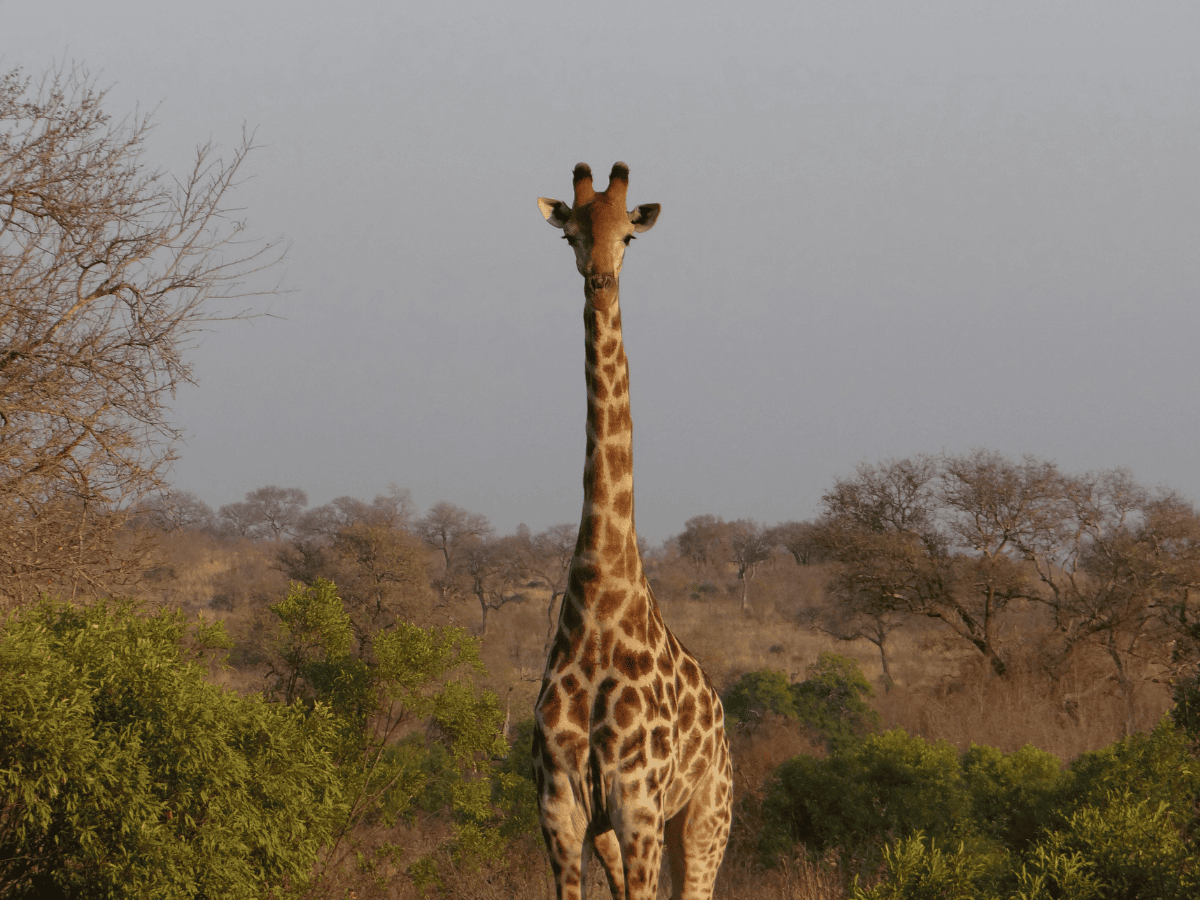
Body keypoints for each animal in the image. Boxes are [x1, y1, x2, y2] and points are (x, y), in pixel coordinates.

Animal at [532, 162, 733, 900]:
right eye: (571, 234)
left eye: (629, 236)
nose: (600, 279)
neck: (599, 601)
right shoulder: (563, 809)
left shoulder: (640, 804)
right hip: (614, 834)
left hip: (706, 817)